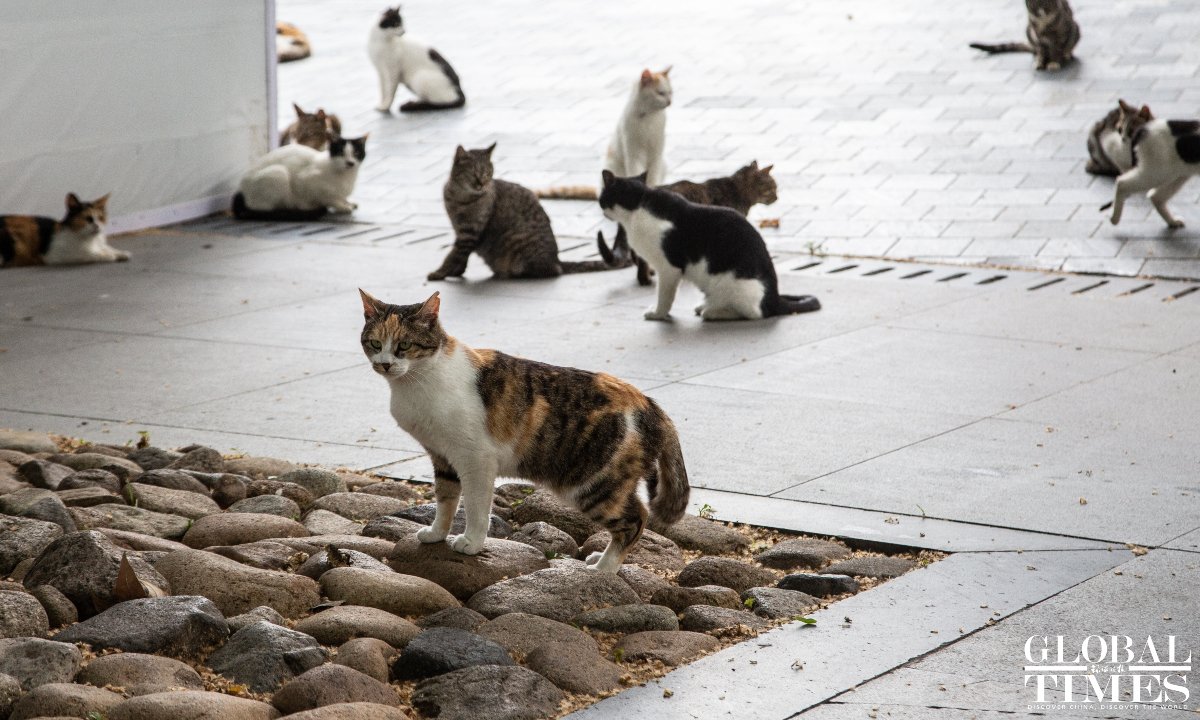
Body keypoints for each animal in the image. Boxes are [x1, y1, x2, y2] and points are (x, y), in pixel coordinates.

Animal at [0, 190, 128, 267]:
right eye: (88, 218)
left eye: (101, 218)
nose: (98, 226)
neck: (90, 240)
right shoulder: (55, 256)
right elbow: (91, 254)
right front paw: (109, 256)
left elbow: (108, 248)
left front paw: (121, 253)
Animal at [355, 289, 691, 571]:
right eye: (375, 343)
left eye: (404, 345)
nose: (384, 364)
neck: (418, 382)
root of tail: (649, 404)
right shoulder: (443, 456)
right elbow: (446, 499)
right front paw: (437, 533)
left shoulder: (476, 460)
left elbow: (476, 507)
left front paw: (471, 542)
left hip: (592, 483)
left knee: (636, 520)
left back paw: (602, 570)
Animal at [424, 144, 624, 280]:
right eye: (473, 173)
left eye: (488, 173)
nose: (482, 183)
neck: (459, 198)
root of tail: (557, 260)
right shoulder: (462, 231)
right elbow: (460, 256)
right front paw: (456, 272)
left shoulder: (469, 233)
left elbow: (454, 254)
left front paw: (440, 273)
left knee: (548, 271)